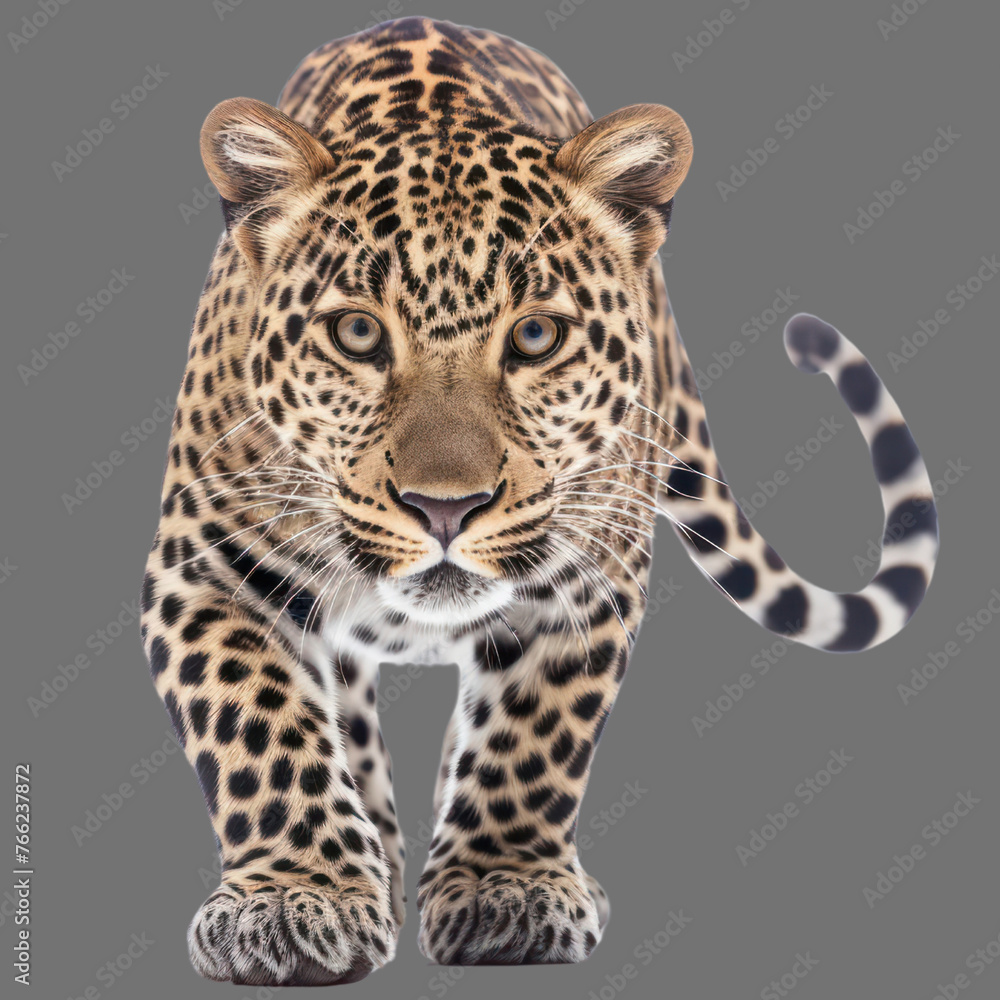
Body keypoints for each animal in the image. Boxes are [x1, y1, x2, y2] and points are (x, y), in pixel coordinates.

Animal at [140, 16, 940, 986]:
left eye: (534, 336)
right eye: (358, 332)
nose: (445, 508)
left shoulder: (589, 578)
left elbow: (535, 733)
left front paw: (505, 887)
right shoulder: (206, 570)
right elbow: (259, 728)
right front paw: (297, 898)